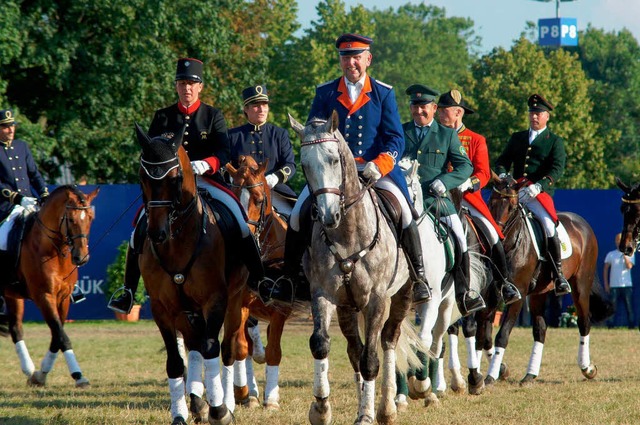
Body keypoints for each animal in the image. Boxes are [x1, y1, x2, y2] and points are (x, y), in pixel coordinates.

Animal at [1, 184, 99, 386]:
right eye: (71, 219)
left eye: (90, 218)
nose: (81, 258)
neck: (53, 250)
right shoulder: (44, 296)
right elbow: (61, 335)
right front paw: (78, 375)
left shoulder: (63, 297)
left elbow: (57, 334)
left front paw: (40, 374)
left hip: (11, 294)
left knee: (16, 328)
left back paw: (29, 369)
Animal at [135, 123, 245, 424]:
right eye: (142, 179)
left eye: (174, 179)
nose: (156, 234)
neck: (178, 241)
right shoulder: (162, 308)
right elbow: (176, 361)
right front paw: (180, 414)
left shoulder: (215, 301)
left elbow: (212, 349)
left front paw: (219, 411)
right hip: (185, 312)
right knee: (194, 348)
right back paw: (196, 402)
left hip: (235, 302)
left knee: (227, 349)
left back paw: (226, 403)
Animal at [226, 154, 292, 410]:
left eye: (259, 199)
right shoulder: (240, 304)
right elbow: (240, 348)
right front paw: (244, 392)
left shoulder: (281, 308)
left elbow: (274, 351)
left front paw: (271, 399)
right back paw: (250, 391)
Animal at [288, 112, 420, 424]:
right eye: (304, 165)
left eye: (334, 159)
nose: (328, 215)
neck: (347, 232)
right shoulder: (323, 294)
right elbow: (321, 343)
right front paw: (321, 409)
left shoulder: (377, 301)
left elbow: (371, 359)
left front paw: (367, 415)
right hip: (347, 307)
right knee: (353, 349)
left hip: (402, 296)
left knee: (388, 341)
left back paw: (386, 407)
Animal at [488, 172, 612, 384]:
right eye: (490, 202)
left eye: (512, 207)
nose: (496, 237)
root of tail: (582, 223)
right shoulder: (494, 294)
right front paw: (498, 370)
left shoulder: (517, 295)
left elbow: (502, 335)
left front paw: (491, 375)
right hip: (538, 293)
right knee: (540, 329)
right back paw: (530, 374)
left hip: (580, 286)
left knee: (584, 321)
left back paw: (587, 368)